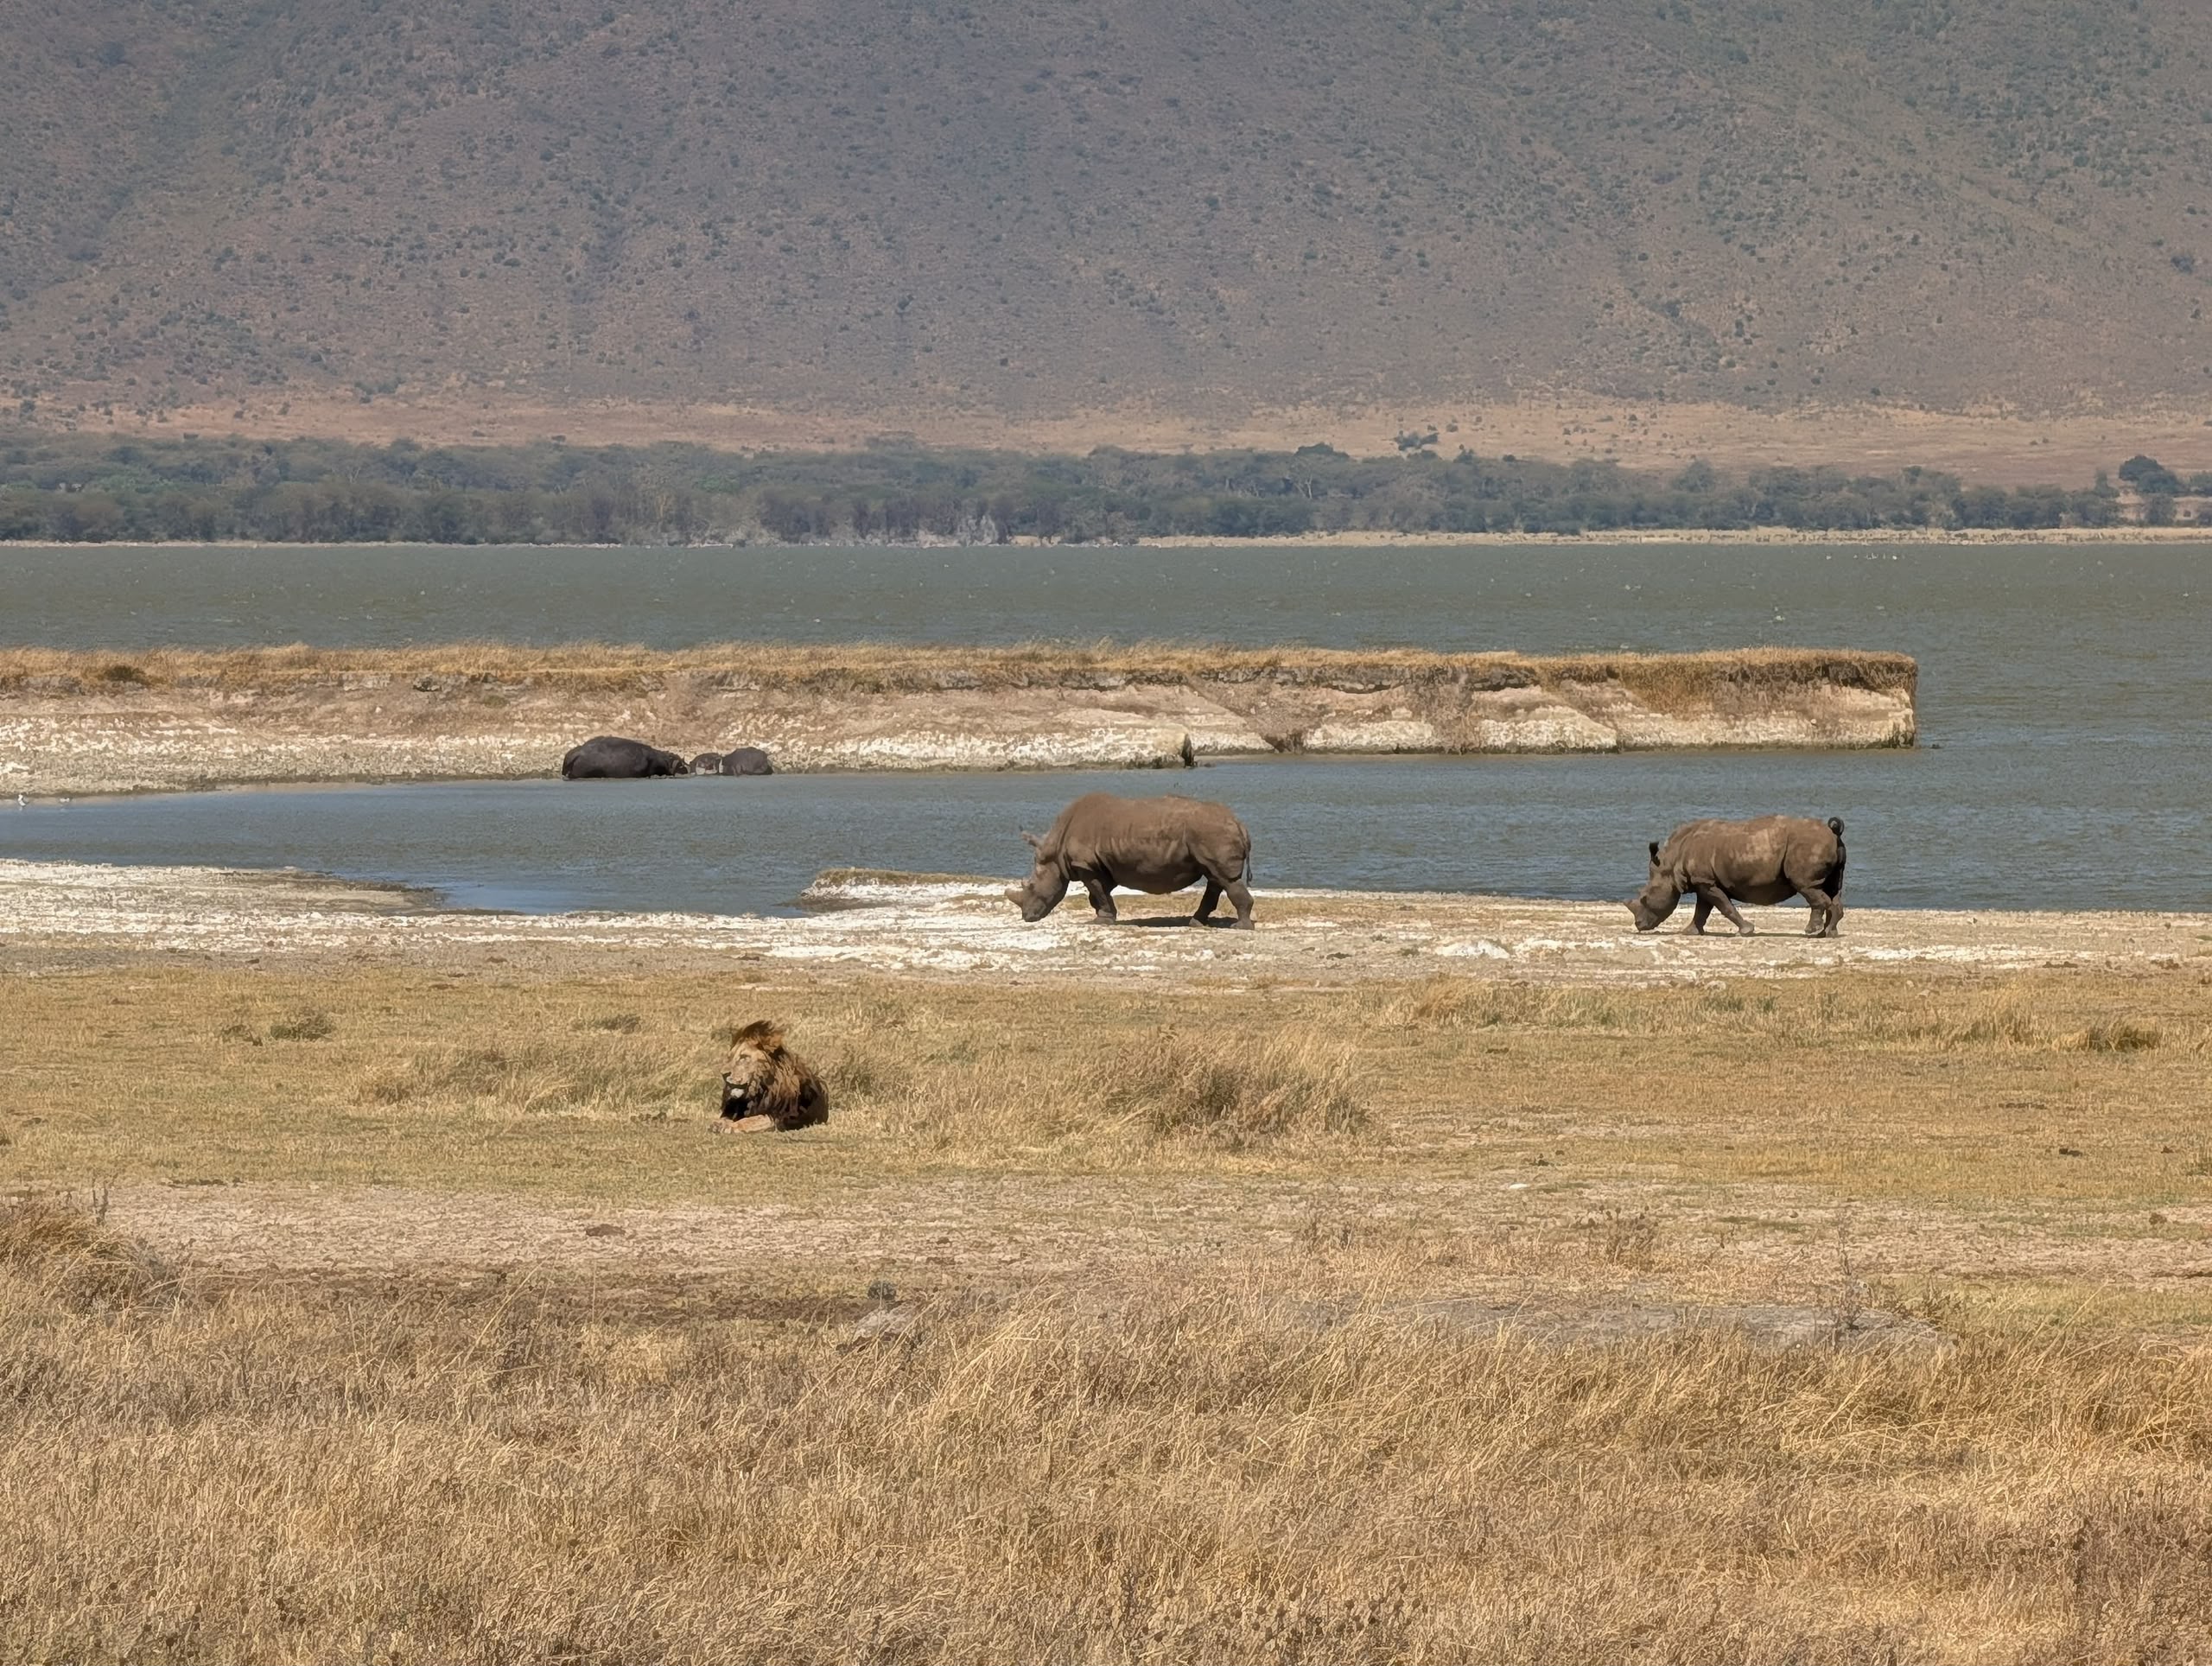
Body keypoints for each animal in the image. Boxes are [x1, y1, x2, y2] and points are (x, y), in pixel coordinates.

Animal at [717, 1019, 829, 1132]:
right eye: (730, 1057)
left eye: (744, 1057)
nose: (723, 1074)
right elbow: (725, 1118)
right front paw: (719, 1124)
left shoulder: (776, 1117)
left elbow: (752, 1120)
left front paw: (731, 1127)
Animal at [1007, 792, 1255, 929]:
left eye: (1032, 886)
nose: (1026, 917)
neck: (1055, 852)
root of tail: (1240, 824)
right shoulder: (1102, 864)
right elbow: (1099, 892)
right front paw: (1104, 915)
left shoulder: (1086, 864)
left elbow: (1097, 891)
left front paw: (1102, 920)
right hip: (1211, 836)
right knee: (1216, 877)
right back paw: (1196, 923)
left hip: (1213, 833)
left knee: (1226, 879)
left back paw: (1240, 927)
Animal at [1628, 815, 1846, 937]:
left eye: (1645, 897)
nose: (1639, 925)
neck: (1670, 863)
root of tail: (1833, 832)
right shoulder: (1703, 881)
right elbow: (1702, 910)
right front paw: (1689, 932)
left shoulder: (1705, 881)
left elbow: (1724, 907)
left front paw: (1746, 931)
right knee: (1831, 888)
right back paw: (1828, 933)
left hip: (1808, 847)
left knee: (1807, 886)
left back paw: (1811, 931)